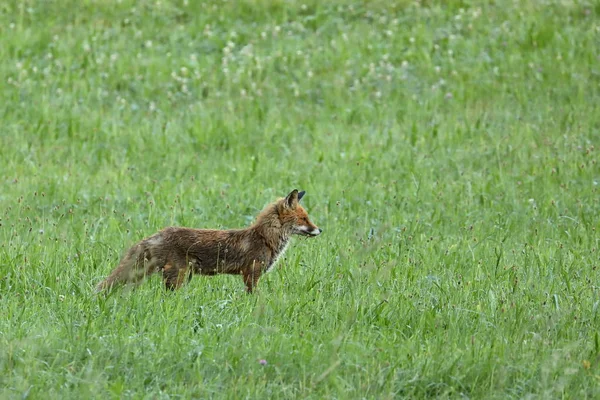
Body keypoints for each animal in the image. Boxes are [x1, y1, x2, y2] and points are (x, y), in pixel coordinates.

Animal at [96, 189, 322, 292]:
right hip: (178, 276)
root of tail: (158, 234)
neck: (264, 238)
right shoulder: (251, 274)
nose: (320, 230)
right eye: (304, 219)